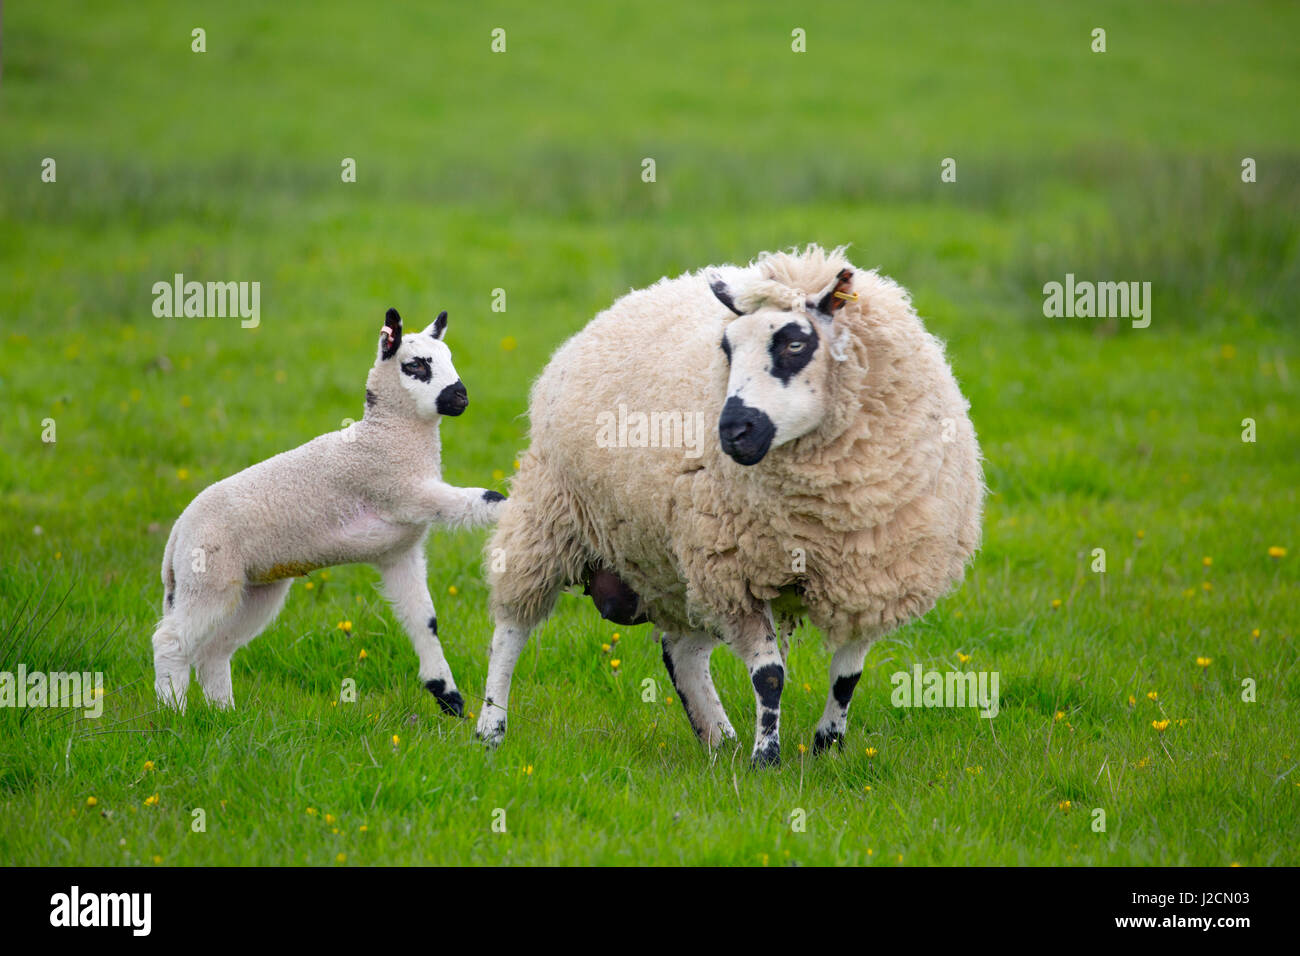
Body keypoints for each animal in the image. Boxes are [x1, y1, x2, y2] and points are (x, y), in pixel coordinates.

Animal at [147, 310, 501, 712]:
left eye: (449, 357)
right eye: (415, 365)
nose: (461, 397)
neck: (388, 436)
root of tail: (177, 532)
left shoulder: (398, 553)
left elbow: (425, 622)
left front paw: (447, 696)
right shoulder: (401, 490)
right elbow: (482, 499)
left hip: (255, 587)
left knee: (215, 650)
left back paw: (223, 713)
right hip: (208, 574)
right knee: (171, 640)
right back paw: (174, 712)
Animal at [478, 248, 982, 770]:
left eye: (796, 343)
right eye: (727, 348)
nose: (733, 431)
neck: (825, 512)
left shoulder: (872, 577)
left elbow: (846, 679)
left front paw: (829, 747)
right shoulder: (735, 576)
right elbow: (770, 676)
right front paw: (767, 758)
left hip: (671, 570)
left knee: (682, 652)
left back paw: (719, 738)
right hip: (548, 517)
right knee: (510, 630)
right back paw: (490, 731)